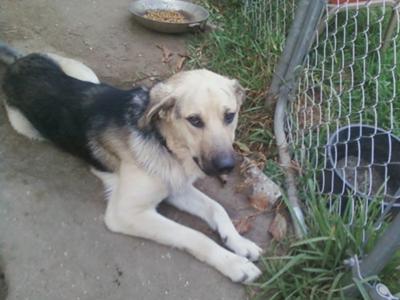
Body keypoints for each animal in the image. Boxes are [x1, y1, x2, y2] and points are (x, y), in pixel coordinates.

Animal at [0, 42, 262, 284]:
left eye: (230, 116)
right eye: (195, 120)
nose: (226, 166)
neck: (165, 143)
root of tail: (20, 62)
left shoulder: (175, 186)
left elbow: (217, 208)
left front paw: (239, 242)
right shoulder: (125, 213)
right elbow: (195, 236)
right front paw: (234, 263)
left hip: (86, 74)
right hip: (27, 127)